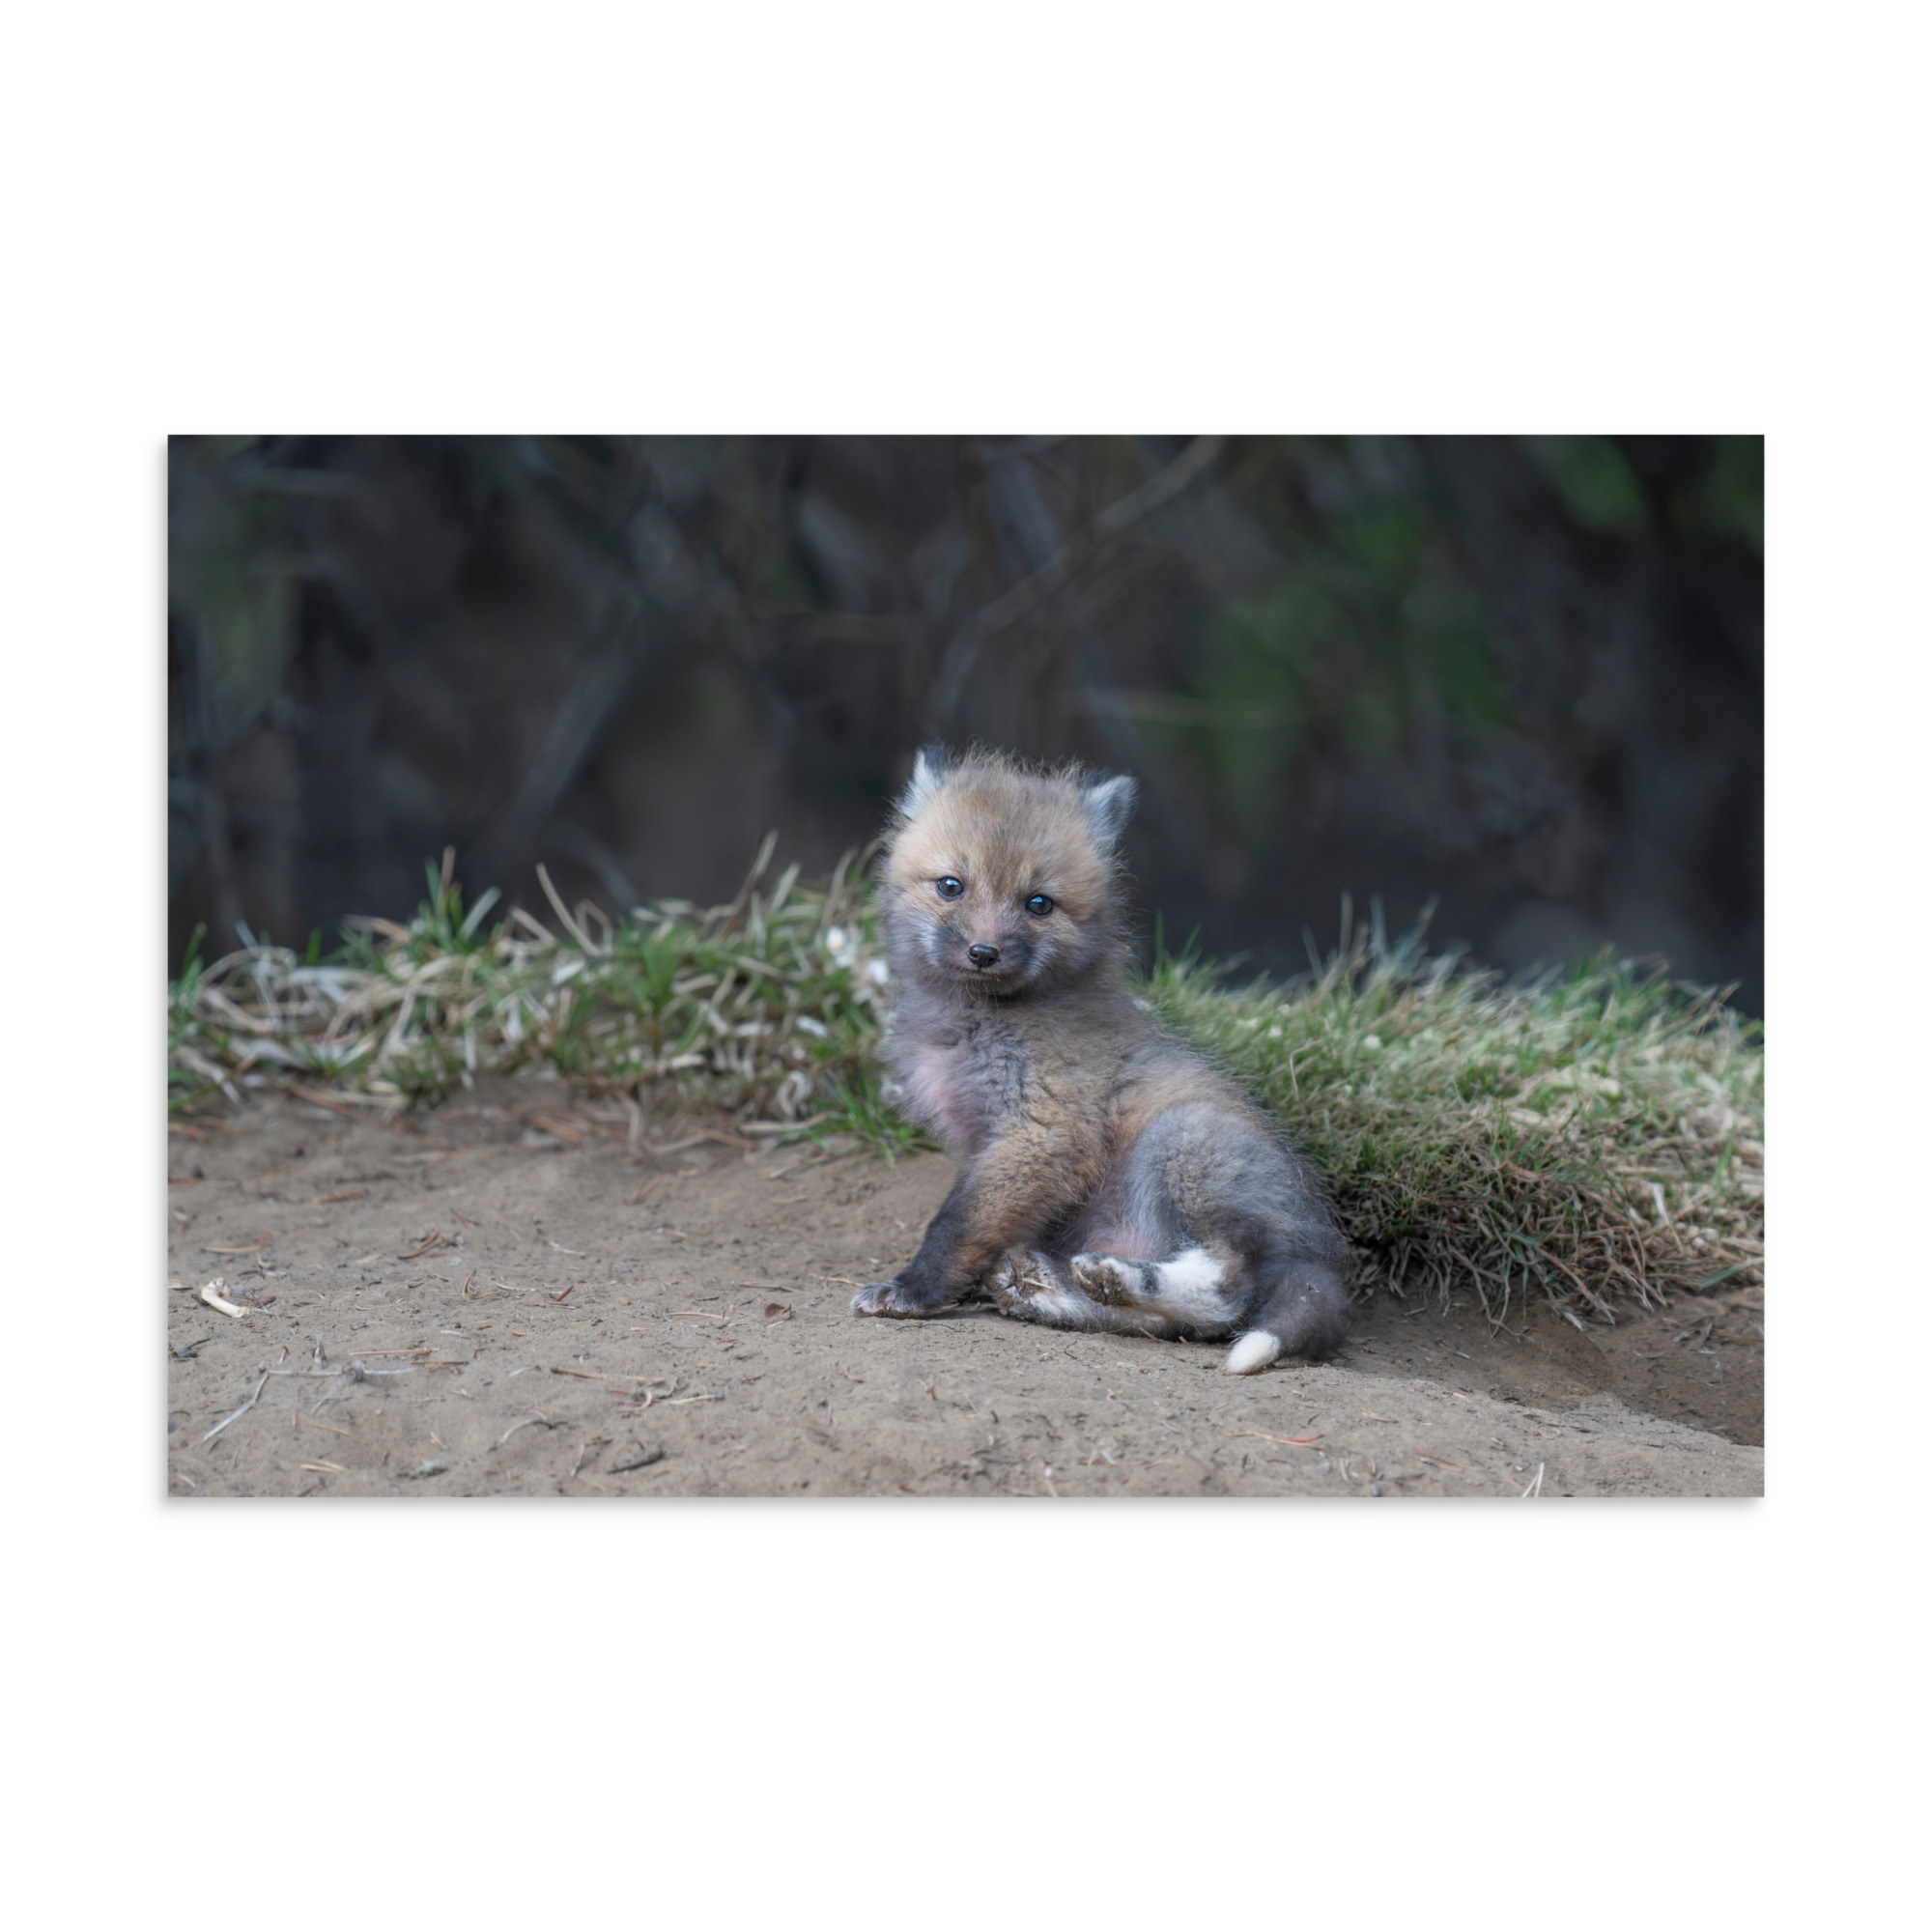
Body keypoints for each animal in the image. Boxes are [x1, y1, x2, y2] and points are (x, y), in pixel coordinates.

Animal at [849, 746, 1350, 1372]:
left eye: (1039, 904)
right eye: (951, 886)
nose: (984, 952)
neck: (975, 1024)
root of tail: (1322, 1253)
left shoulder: (1045, 1130)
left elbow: (956, 1224)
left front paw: (913, 1290)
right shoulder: (989, 1143)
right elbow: (978, 1224)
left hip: (1182, 1143)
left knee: (1229, 1293)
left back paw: (1116, 1278)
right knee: (1172, 1325)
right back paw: (1053, 1290)